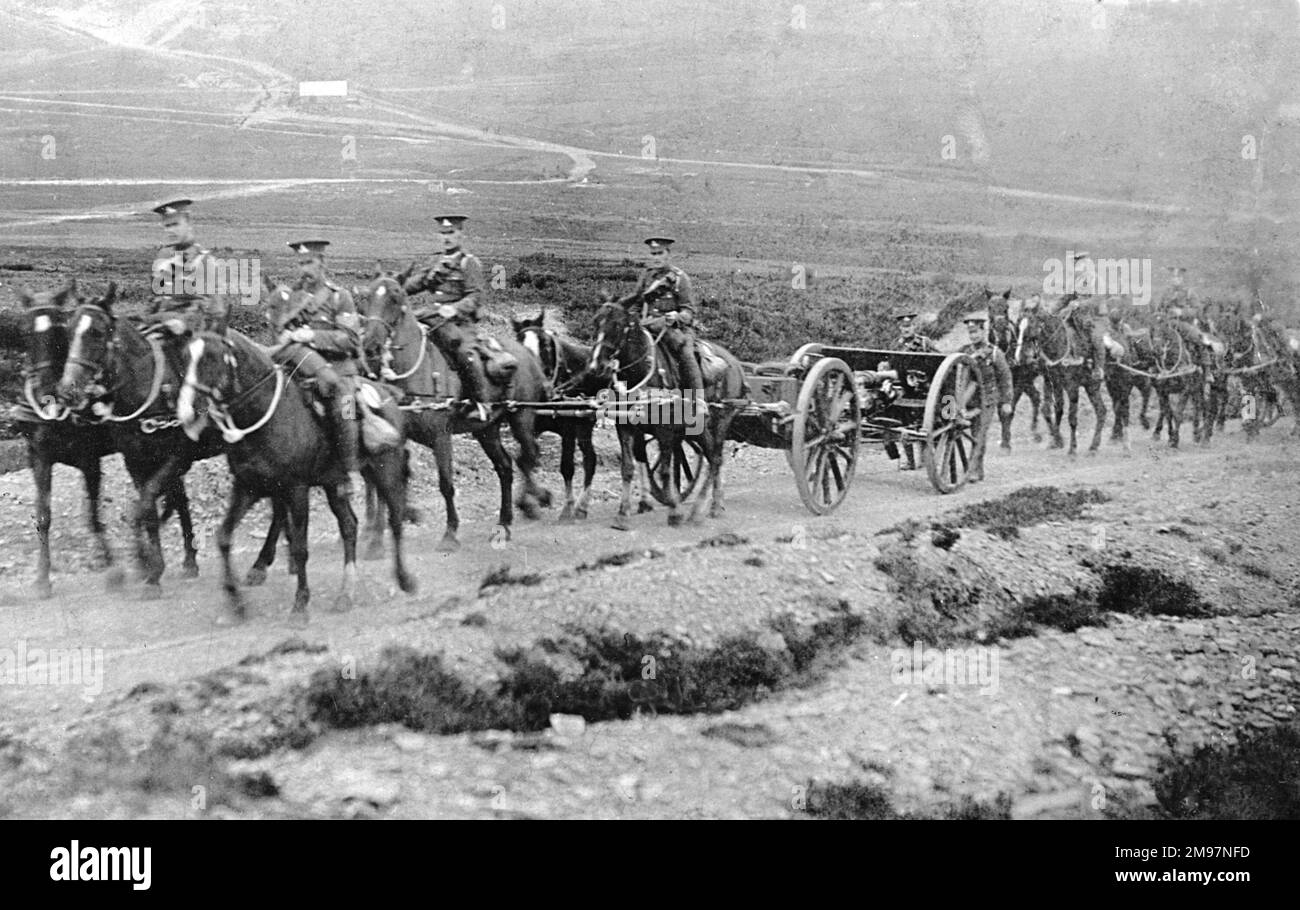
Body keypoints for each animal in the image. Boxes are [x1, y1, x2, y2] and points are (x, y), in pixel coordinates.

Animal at [178, 330, 416, 621]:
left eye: (211, 358)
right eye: (185, 357)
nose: (186, 410)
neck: (267, 414)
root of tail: (388, 394)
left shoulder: (296, 489)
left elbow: (300, 548)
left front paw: (300, 604)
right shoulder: (248, 486)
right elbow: (224, 537)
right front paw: (237, 603)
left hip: (385, 469)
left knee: (395, 520)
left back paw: (404, 579)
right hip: (333, 483)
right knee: (349, 526)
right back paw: (345, 593)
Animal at [348, 274, 551, 551]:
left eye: (395, 298)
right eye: (365, 299)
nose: (370, 345)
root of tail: (527, 355)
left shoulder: (441, 438)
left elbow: (446, 484)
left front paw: (450, 533)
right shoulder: (394, 439)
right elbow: (386, 483)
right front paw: (380, 534)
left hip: (521, 418)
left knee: (528, 455)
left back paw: (532, 501)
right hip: (487, 430)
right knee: (505, 466)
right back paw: (505, 522)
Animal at [587, 300, 743, 525]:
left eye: (616, 325)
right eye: (595, 322)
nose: (595, 366)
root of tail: (735, 364)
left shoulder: (665, 429)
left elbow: (665, 471)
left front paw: (674, 511)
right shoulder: (625, 426)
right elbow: (628, 467)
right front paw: (623, 513)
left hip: (722, 420)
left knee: (715, 458)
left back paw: (710, 507)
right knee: (712, 457)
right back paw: (706, 506)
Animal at [1013, 304, 1107, 454]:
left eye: (1031, 326)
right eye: (1017, 326)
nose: (1018, 357)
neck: (1058, 346)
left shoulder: (1072, 387)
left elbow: (1072, 418)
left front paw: (1072, 449)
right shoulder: (1055, 382)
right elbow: (1056, 410)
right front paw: (1056, 441)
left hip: (1093, 385)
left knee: (1104, 410)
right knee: (1101, 411)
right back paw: (1094, 445)